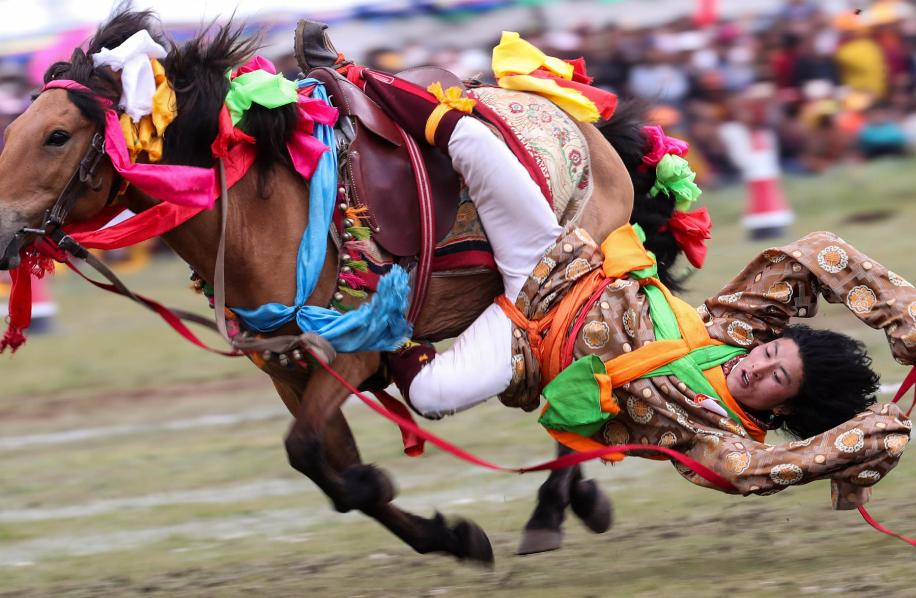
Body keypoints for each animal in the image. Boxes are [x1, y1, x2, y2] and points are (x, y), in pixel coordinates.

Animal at [0, 9, 676, 564]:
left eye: (57, 136)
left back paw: (550, 510)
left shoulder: (350, 353)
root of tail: (583, 122)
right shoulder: (291, 370)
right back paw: (581, 494)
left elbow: (307, 453)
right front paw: (448, 535)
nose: (4, 235)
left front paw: (395, 495)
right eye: (11, 133)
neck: (264, 215)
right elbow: (324, 465)